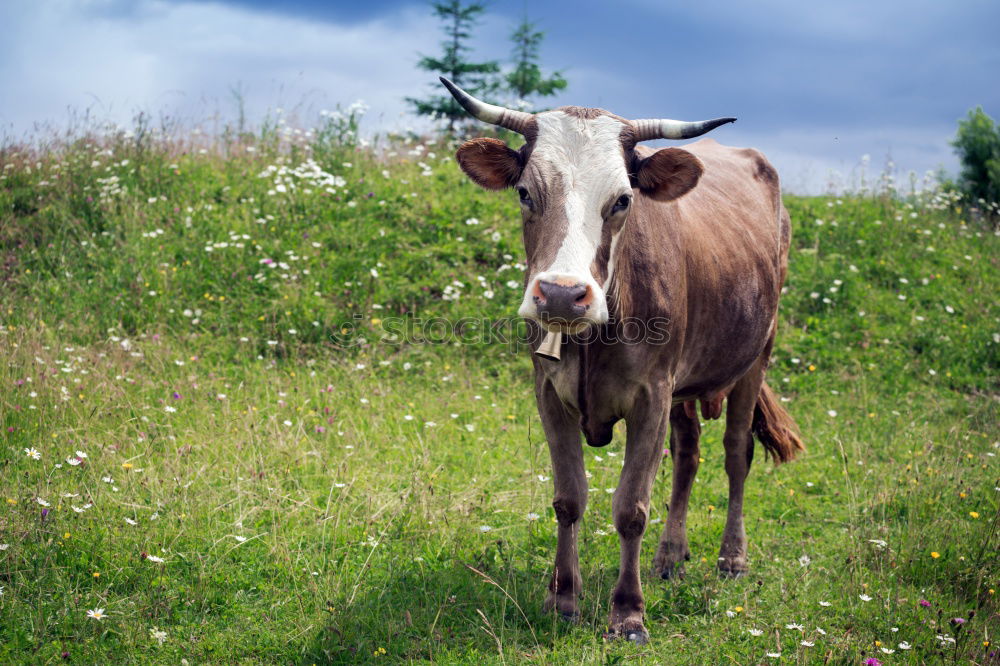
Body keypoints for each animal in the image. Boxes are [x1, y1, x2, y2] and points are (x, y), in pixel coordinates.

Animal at [442, 76, 800, 644]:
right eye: (525, 192)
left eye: (623, 200)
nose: (562, 295)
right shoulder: (550, 394)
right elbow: (569, 498)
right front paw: (563, 599)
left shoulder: (650, 397)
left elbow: (631, 507)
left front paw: (628, 614)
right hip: (682, 386)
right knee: (688, 454)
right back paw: (670, 557)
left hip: (756, 354)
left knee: (735, 453)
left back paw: (732, 558)